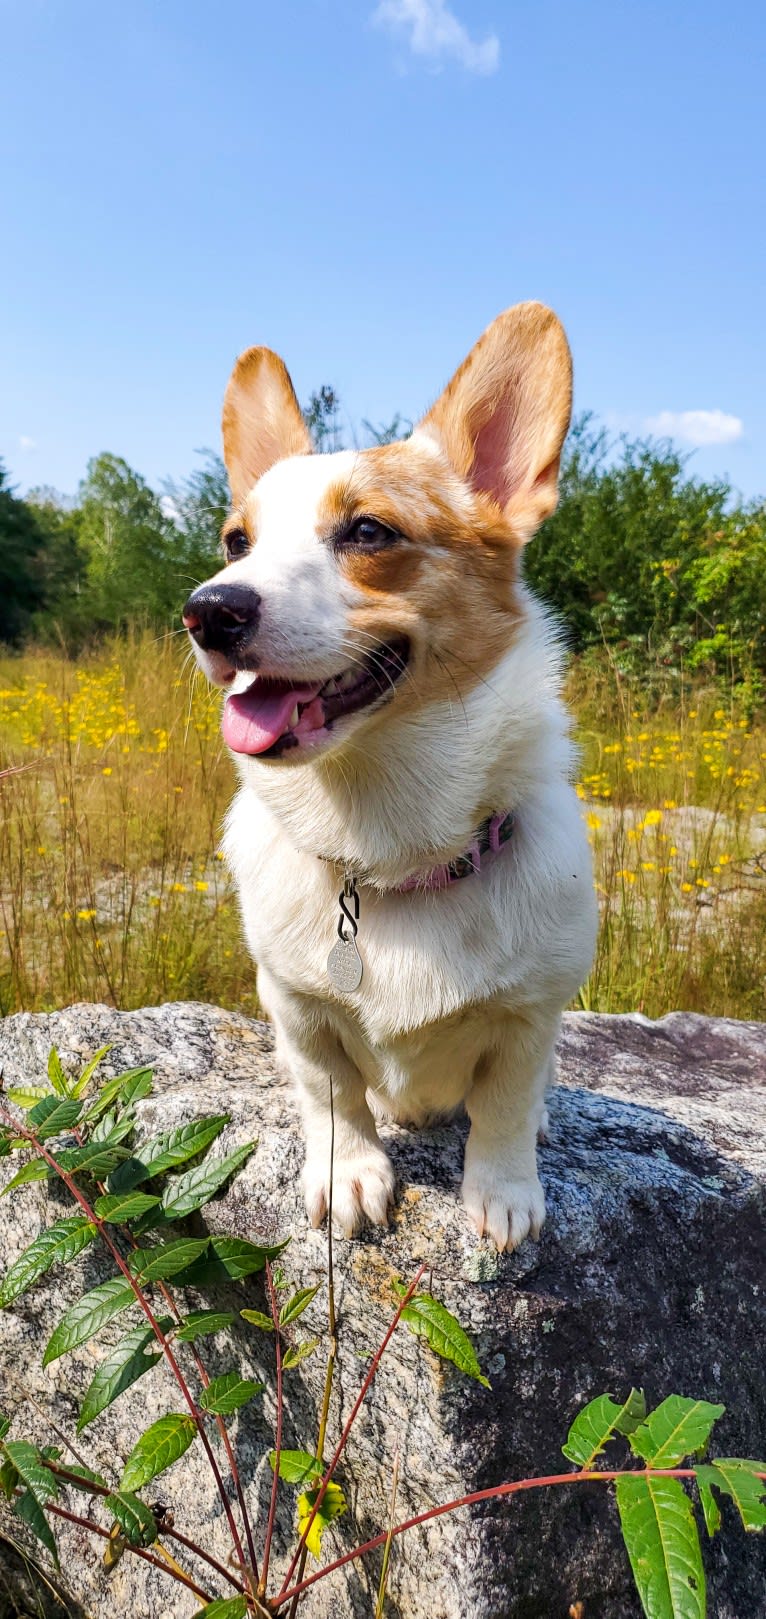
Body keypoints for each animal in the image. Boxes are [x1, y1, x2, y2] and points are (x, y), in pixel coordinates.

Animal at [183, 305, 595, 1249]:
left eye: (368, 531)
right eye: (235, 542)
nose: (208, 610)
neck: (385, 841)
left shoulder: (530, 1014)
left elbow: (506, 1106)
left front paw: (504, 1197)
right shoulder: (297, 1007)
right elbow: (332, 1094)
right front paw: (350, 1176)